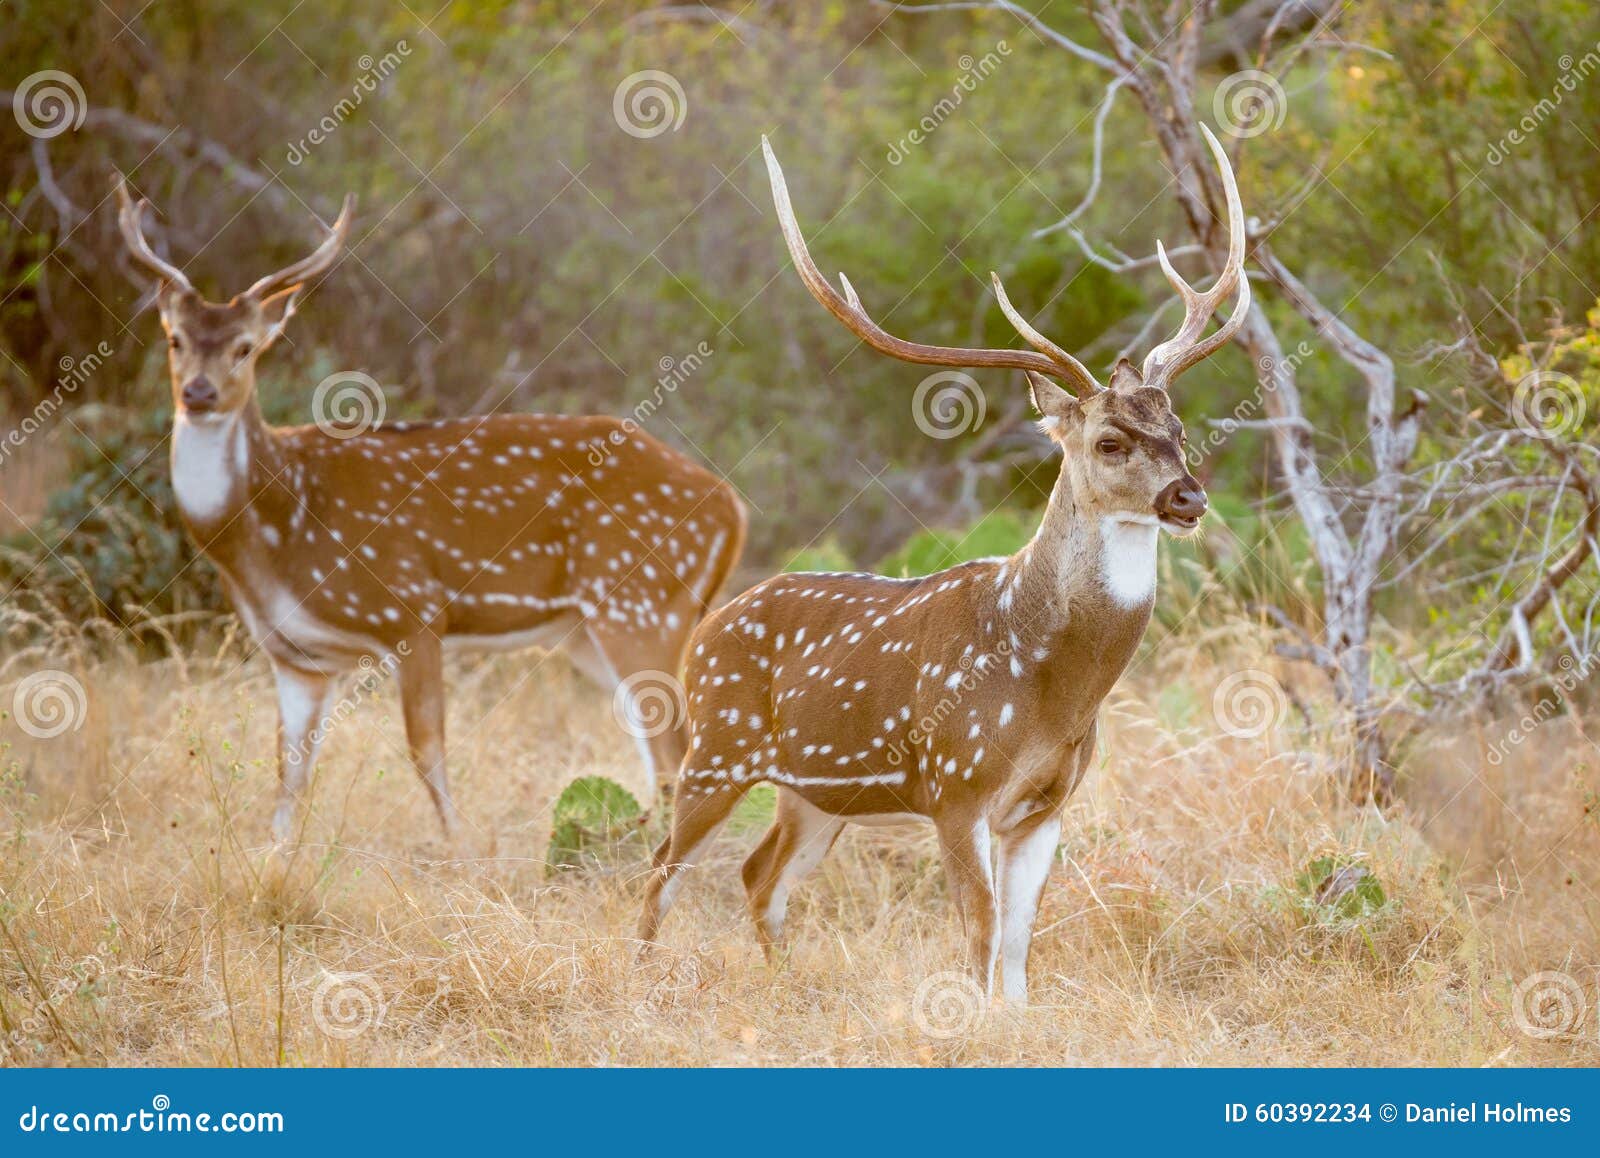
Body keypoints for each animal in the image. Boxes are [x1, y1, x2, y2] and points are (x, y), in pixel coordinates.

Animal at [116, 183, 742, 850]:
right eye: (175, 339)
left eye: (245, 347)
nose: (199, 393)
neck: (276, 536)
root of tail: (731, 505)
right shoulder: (297, 655)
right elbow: (290, 769)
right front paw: (275, 853)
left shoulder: (412, 609)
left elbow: (426, 751)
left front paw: (458, 846)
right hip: (590, 632)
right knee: (660, 751)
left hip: (642, 607)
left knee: (677, 750)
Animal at [636, 128, 1248, 1004]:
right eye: (1109, 441)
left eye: (1180, 431)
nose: (1188, 497)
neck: (1052, 688)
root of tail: (704, 629)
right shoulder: (958, 784)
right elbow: (980, 935)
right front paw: (974, 1017)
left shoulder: (1046, 805)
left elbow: (1020, 946)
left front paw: (1015, 1018)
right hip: (716, 746)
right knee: (661, 870)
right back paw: (639, 977)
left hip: (815, 794)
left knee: (760, 876)